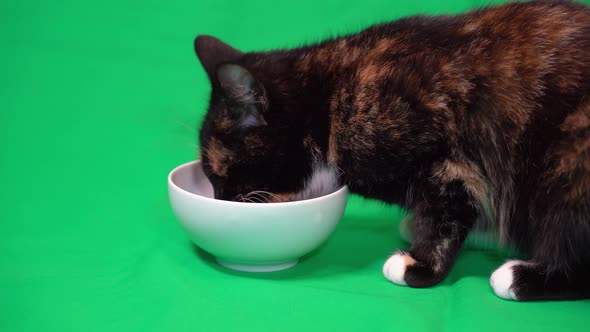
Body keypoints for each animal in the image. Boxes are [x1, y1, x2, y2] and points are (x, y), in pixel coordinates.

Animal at [195, 0, 590, 300]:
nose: (218, 200)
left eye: (222, 173)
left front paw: (419, 265)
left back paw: (519, 277)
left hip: (569, 157)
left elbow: (444, 218)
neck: (332, 99)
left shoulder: (448, 162)